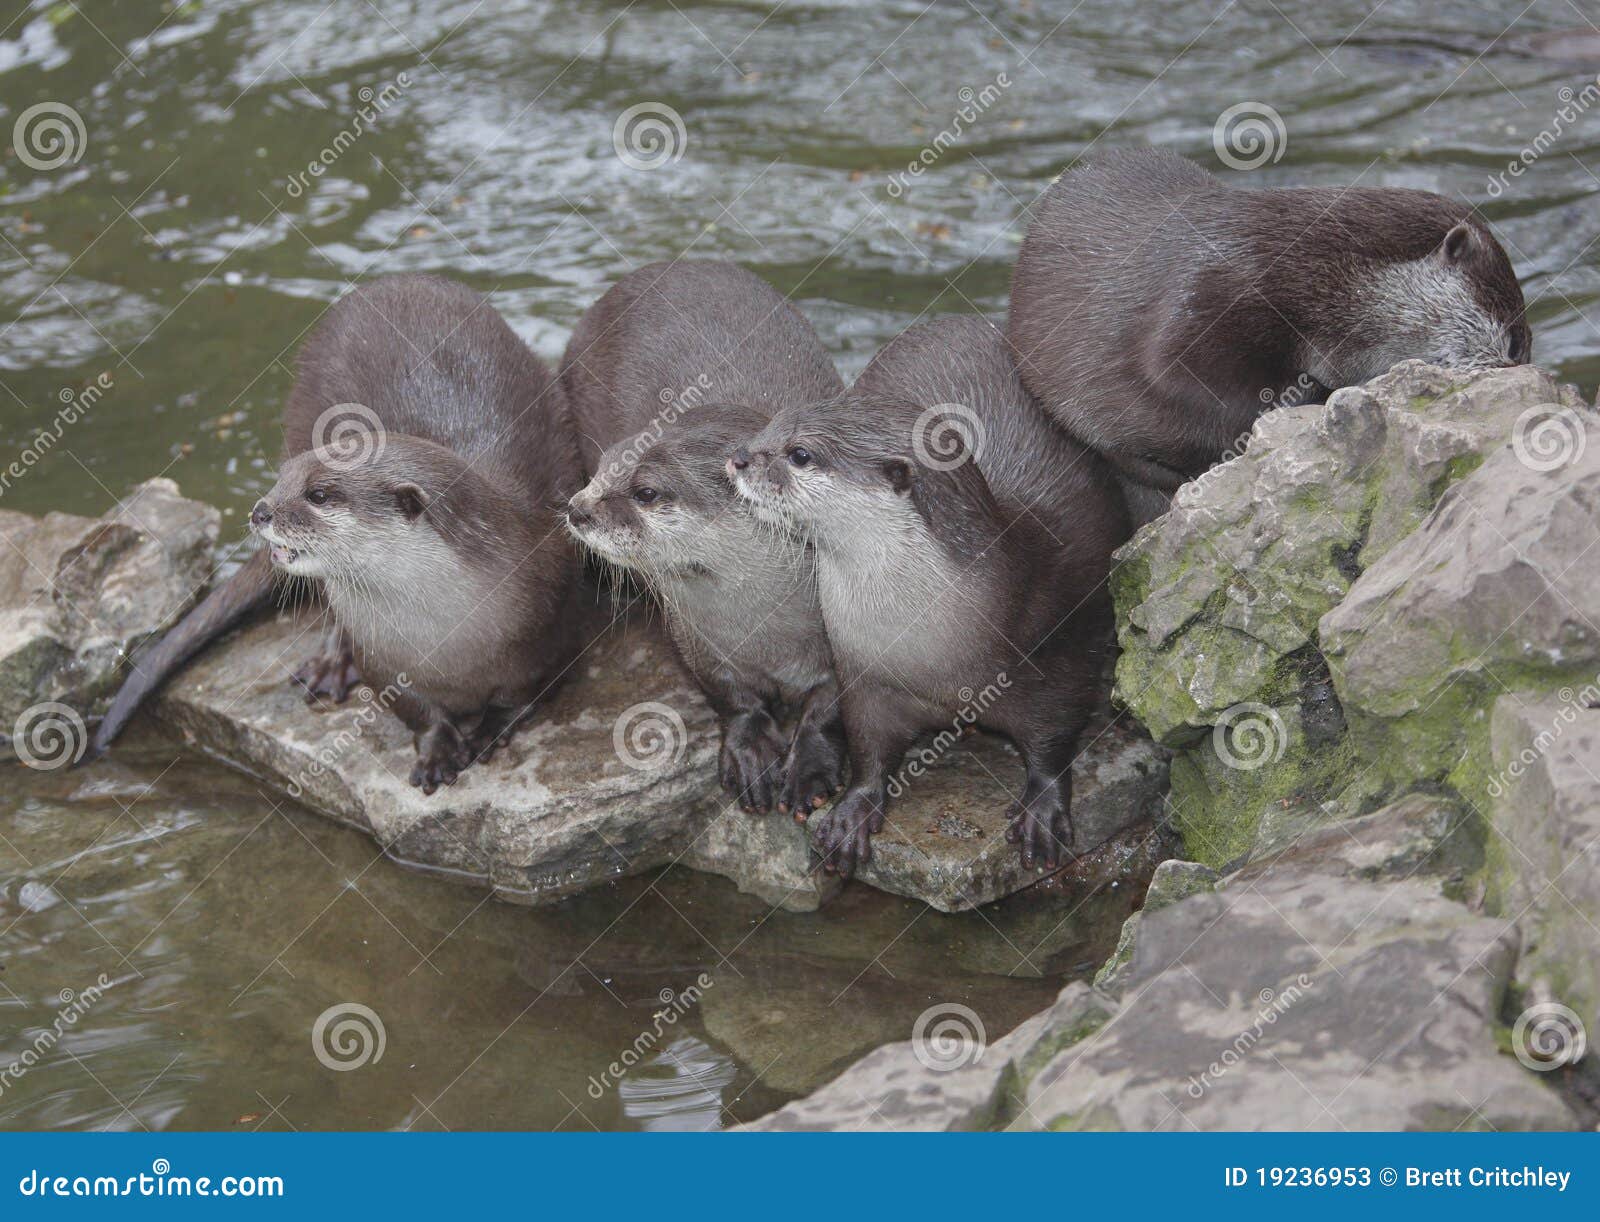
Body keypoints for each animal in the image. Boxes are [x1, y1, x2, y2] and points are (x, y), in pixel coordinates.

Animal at [91, 274, 583, 792]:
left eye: (320, 494)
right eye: (282, 479)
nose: (260, 511)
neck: (447, 639)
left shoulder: (551, 629)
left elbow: (522, 696)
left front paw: (489, 730)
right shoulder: (382, 661)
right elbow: (413, 711)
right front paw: (437, 750)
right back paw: (331, 664)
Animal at [560, 260, 847, 816]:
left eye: (646, 491)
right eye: (604, 468)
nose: (577, 508)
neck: (767, 627)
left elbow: (830, 707)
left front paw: (810, 768)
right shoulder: (696, 640)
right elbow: (730, 699)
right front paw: (752, 753)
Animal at [730, 315, 1129, 875]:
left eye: (800, 454)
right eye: (769, 425)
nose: (738, 457)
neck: (930, 651)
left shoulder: (1060, 657)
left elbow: (1054, 738)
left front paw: (1043, 811)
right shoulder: (866, 677)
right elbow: (869, 749)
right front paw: (852, 812)